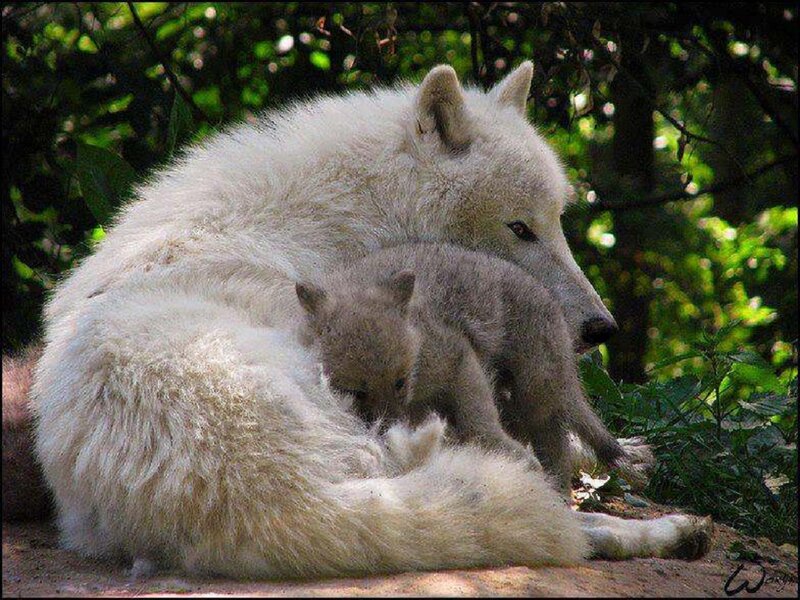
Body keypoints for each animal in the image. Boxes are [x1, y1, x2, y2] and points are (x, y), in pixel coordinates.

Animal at [295, 242, 628, 493]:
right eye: (357, 393)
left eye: (400, 382)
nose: (392, 433)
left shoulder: (458, 359)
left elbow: (479, 423)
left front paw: (511, 456)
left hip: (537, 390)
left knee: (556, 439)